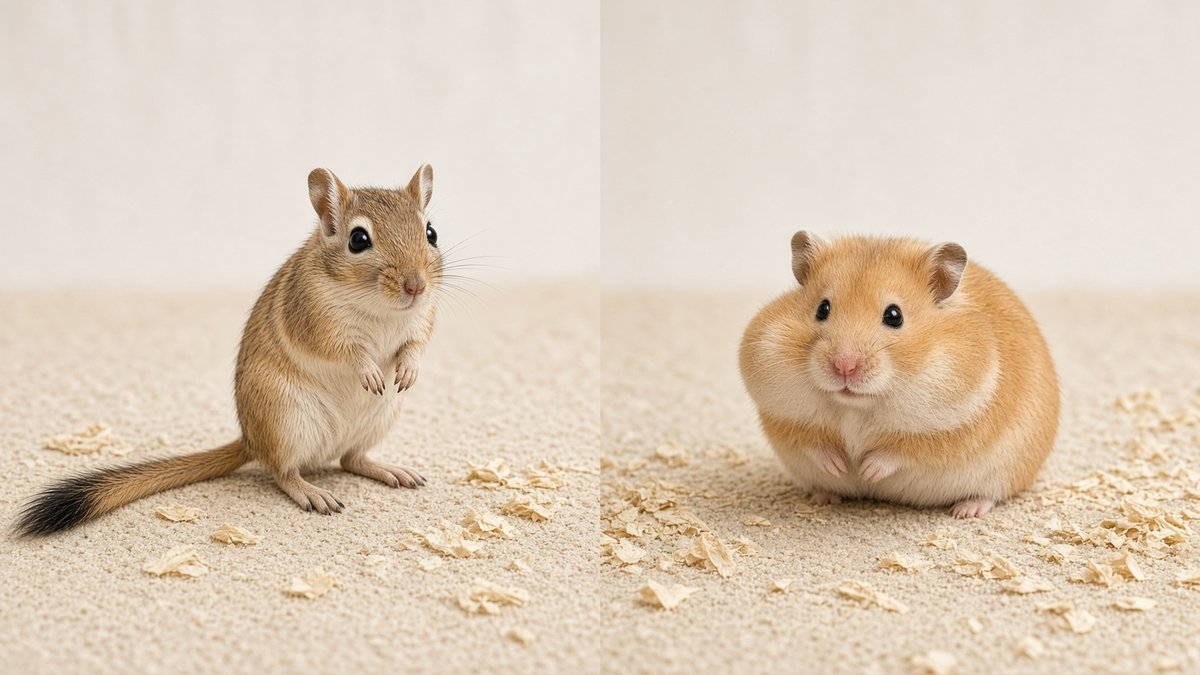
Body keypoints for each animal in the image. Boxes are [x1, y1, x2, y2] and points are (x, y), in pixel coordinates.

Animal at [16, 165, 443, 535]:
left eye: (431, 232)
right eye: (359, 240)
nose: (416, 286)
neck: (380, 309)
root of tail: (250, 441)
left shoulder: (423, 319)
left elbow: (415, 345)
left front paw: (407, 372)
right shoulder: (317, 322)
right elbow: (348, 352)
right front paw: (370, 372)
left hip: (379, 419)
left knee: (352, 458)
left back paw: (393, 471)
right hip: (287, 420)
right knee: (284, 472)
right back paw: (314, 494)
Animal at [738, 232, 1059, 518]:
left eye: (894, 315)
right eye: (822, 309)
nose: (844, 366)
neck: (858, 405)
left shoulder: (950, 430)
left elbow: (901, 450)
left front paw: (866, 471)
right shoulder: (782, 415)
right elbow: (812, 441)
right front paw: (841, 466)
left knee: (989, 495)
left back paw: (966, 511)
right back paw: (824, 497)